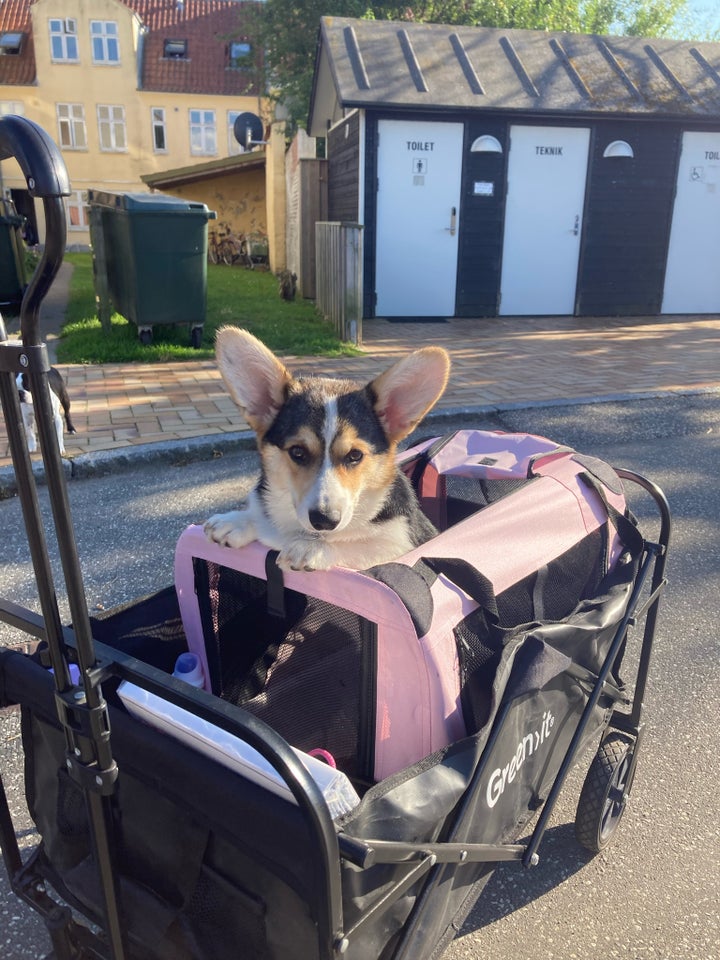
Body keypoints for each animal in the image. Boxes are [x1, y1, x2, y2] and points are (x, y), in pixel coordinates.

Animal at [204, 330, 450, 568]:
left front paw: (312, 547)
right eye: (297, 452)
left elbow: (361, 544)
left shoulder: (402, 545)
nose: (324, 521)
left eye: (355, 455)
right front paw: (238, 520)